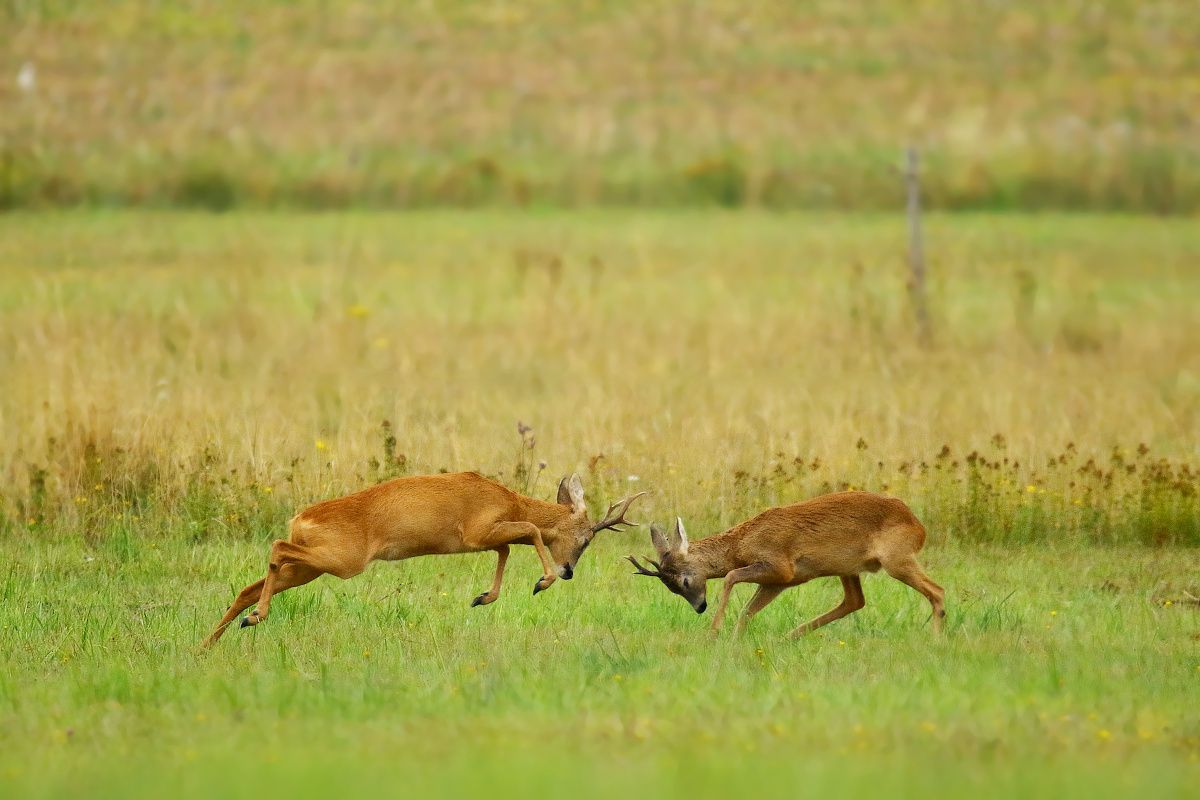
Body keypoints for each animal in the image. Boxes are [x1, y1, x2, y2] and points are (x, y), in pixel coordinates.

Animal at [628, 489, 945, 638]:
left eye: (683, 580)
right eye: (670, 588)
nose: (699, 607)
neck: (742, 542)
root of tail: (918, 527)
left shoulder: (780, 566)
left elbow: (731, 576)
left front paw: (714, 634)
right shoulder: (786, 580)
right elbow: (747, 609)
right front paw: (734, 641)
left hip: (896, 559)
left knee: (937, 591)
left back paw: (935, 639)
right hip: (848, 568)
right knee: (855, 600)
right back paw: (790, 636)